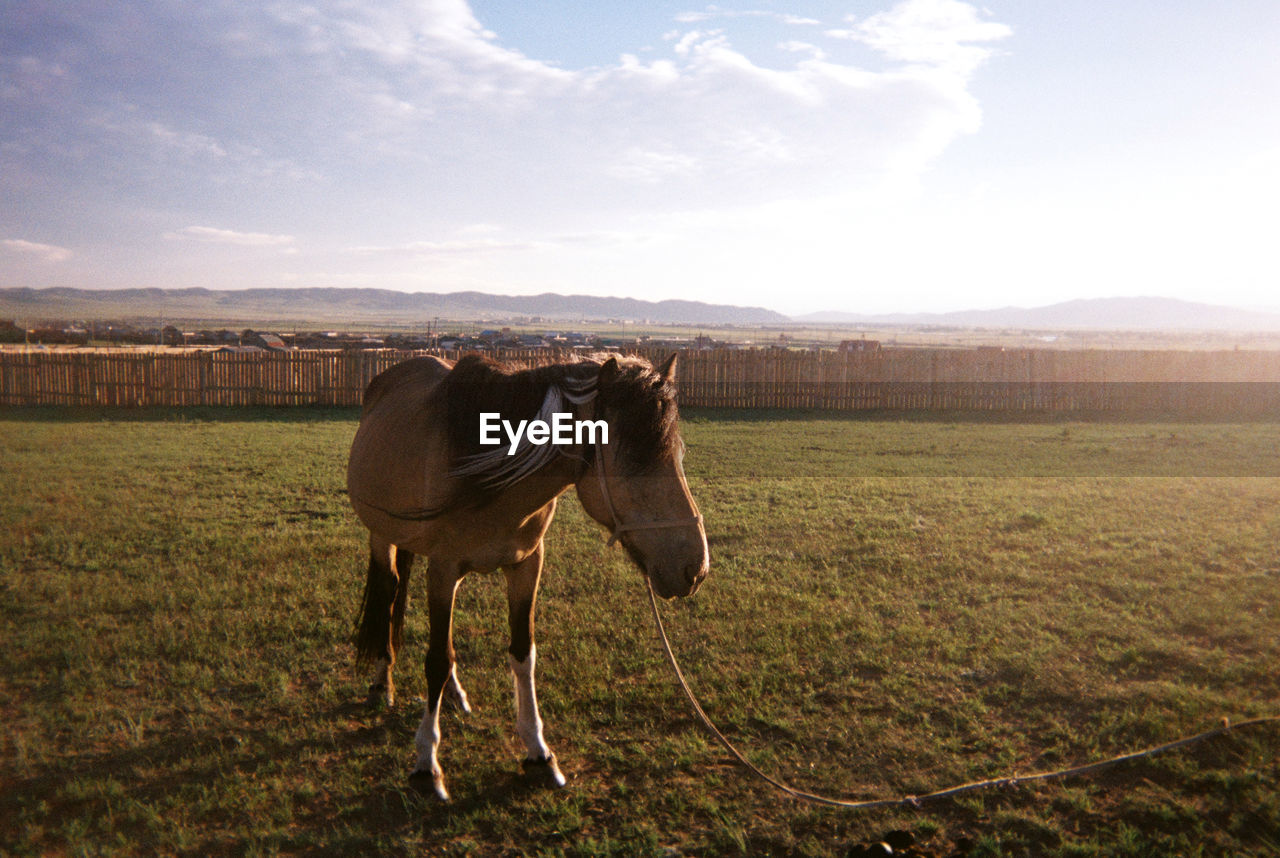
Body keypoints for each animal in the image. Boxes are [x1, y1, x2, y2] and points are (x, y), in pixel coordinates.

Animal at [345, 348, 711, 799]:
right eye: (636, 460)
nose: (695, 568)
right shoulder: (443, 570)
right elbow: (436, 658)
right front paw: (426, 764)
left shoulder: (526, 567)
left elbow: (522, 654)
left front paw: (538, 752)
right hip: (382, 537)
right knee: (390, 593)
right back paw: (383, 682)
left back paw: (453, 695)